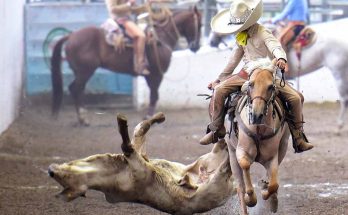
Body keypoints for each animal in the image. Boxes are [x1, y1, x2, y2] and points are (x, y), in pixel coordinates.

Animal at [49, 6, 201, 125]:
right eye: (199, 25)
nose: (196, 47)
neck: (160, 38)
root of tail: (71, 36)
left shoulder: (150, 75)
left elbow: (153, 94)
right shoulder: (156, 74)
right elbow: (154, 95)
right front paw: (149, 117)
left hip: (81, 72)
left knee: (77, 89)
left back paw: (82, 118)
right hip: (85, 71)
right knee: (75, 89)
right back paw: (83, 119)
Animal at [226, 67, 290, 215]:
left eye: (271, 87)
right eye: (251, 84)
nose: (256, 115)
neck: (259, 129)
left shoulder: (272, 157)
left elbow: (273, 184)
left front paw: (265, 191)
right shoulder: (240, 151)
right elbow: (245, 165)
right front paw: (251, 199)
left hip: (283, 145)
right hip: (231, 152)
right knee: (240, 186)